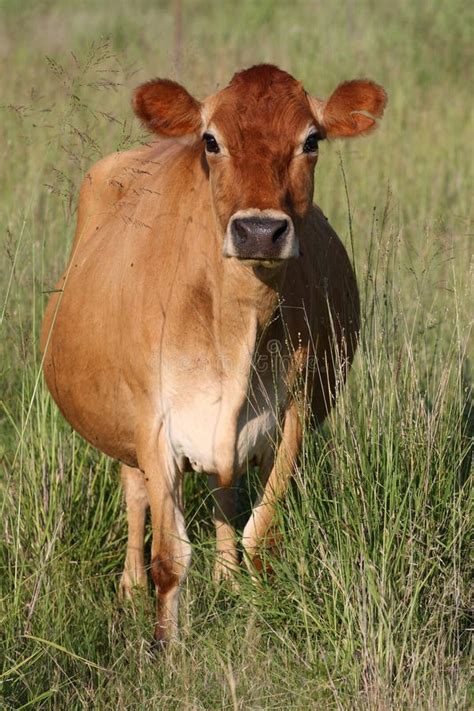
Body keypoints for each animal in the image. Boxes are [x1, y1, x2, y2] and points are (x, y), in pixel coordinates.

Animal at [40, 65, 386, 644]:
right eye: (211, 141)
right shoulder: (153, 425)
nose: (259, 231)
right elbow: (170, 556)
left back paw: (225, 579)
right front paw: (167, 647)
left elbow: (260, 534)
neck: (235, 331)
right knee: (134, 493)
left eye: (311, 141)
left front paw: (260, 618)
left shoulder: (292, 414)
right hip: (124, 428)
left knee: (224, 492)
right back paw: (129, 588)